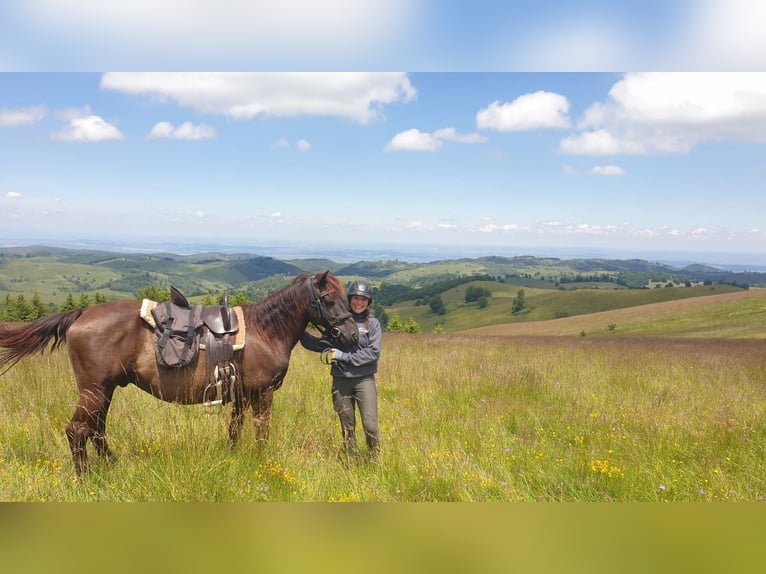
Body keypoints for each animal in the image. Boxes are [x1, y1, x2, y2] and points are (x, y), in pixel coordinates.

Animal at [0, 272, 358, 480]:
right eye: (328, 299)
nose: (352, 334)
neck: (265, 331)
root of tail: (81, 313)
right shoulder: (262, 394)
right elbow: (260, 431)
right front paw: (261, 463)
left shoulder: (241, 394)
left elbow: (234, 430)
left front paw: (233, 459)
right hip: (94, 389)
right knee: (77, 430)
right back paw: (85, 479)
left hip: (104, 389)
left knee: (95, 429)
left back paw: (111, 466)